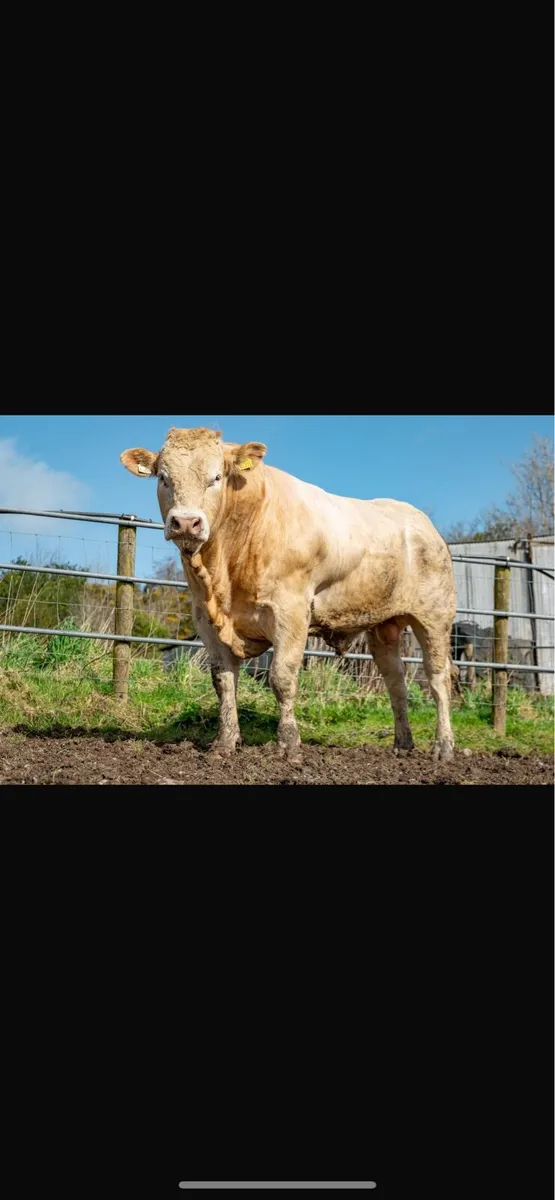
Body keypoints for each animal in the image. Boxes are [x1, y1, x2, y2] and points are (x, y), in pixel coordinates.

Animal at [120, 427, 457, 761]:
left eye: (215, 477)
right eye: (163, 478)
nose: (186, 522)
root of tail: (423, 524)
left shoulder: (290, 612)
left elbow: (282, 678)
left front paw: (289, 743)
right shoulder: (206, 619)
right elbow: (223, 681)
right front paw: (225, 742)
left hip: (434, 617)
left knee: (438, 678)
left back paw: (443, 747)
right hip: (382, 625)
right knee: (396, 681)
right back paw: (403, 744)